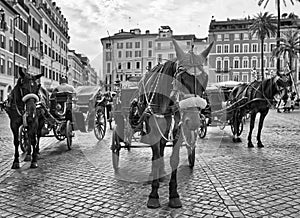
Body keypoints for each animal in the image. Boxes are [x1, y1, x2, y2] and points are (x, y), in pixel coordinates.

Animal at [129, 40, 213, 209]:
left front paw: (174, 194)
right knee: (157, 151)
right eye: (181, 79)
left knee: (162, 146)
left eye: (205, 78)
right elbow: (156, 155)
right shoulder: (153, 126)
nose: (193, 121)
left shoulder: (179, 126)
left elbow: (174, 159)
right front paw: (153, 195)